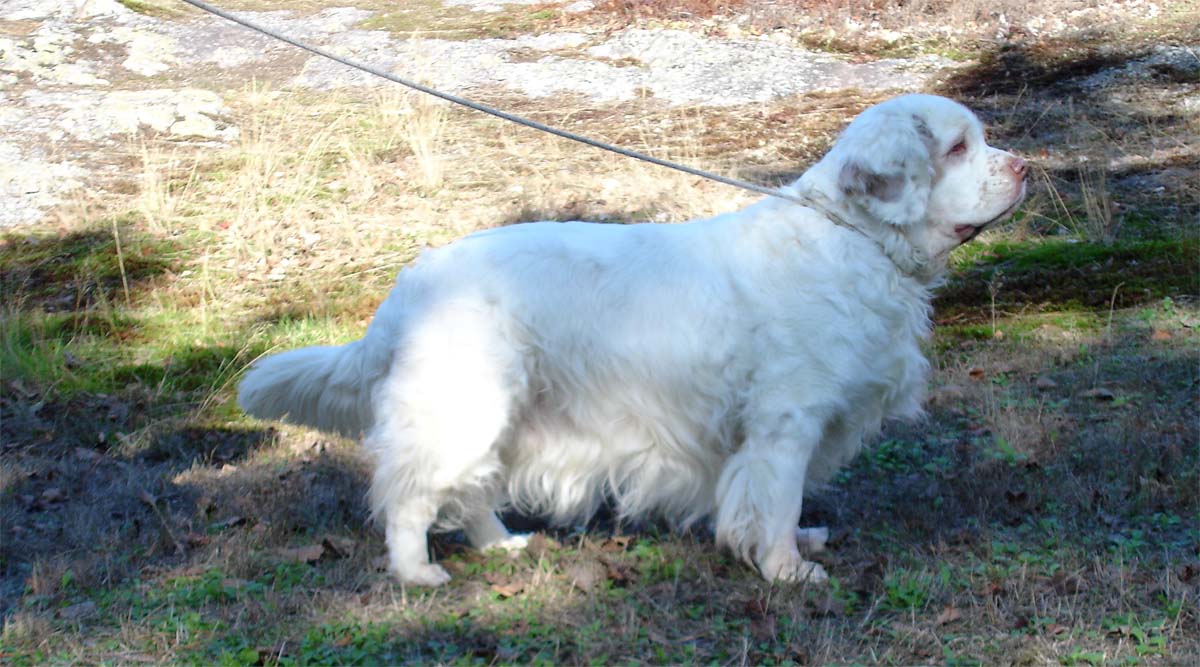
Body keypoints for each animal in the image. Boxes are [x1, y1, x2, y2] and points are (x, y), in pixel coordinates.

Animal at [238, 94, 1027, 586]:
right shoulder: (786, 421)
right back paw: (417, 572)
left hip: (503, 408)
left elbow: (781, 501)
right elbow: (776, 499)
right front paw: (787, 569)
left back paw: (504, 545)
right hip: (466, 405)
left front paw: (798, 544)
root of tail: (411, 284)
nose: (1024, 167)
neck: (852, 239)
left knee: (469, 490)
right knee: (412, 494)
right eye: (959, 147)